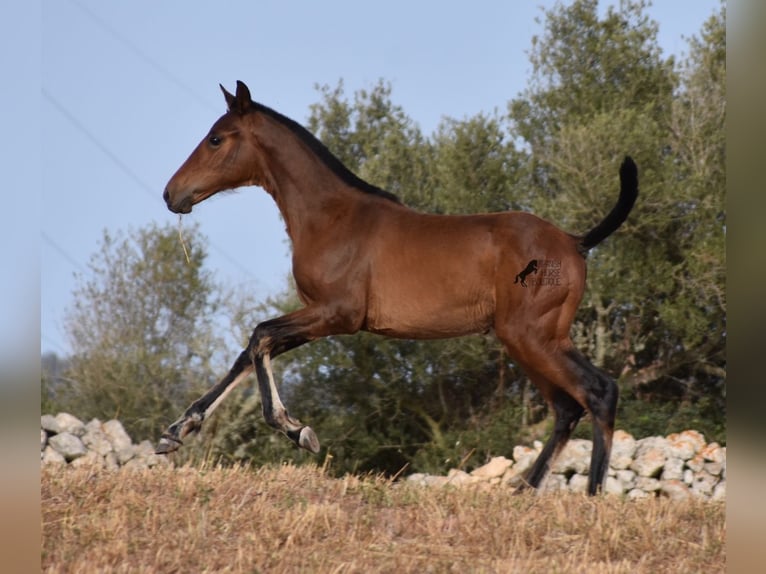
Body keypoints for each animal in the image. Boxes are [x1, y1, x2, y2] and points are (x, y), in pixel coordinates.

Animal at [159, 80, 640, 496]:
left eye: (216, 139)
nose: (170, 194)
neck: (332, 217)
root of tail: (575, 242)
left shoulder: (336, 314)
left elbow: (258, 336)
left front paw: (297, 430)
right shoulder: (317, 316)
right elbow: (248, 351)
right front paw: (177, 431)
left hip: (531, 336)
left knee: (598, 392)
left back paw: (592, 495)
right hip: (534, 339)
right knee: (567, 407)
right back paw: (525, 491)